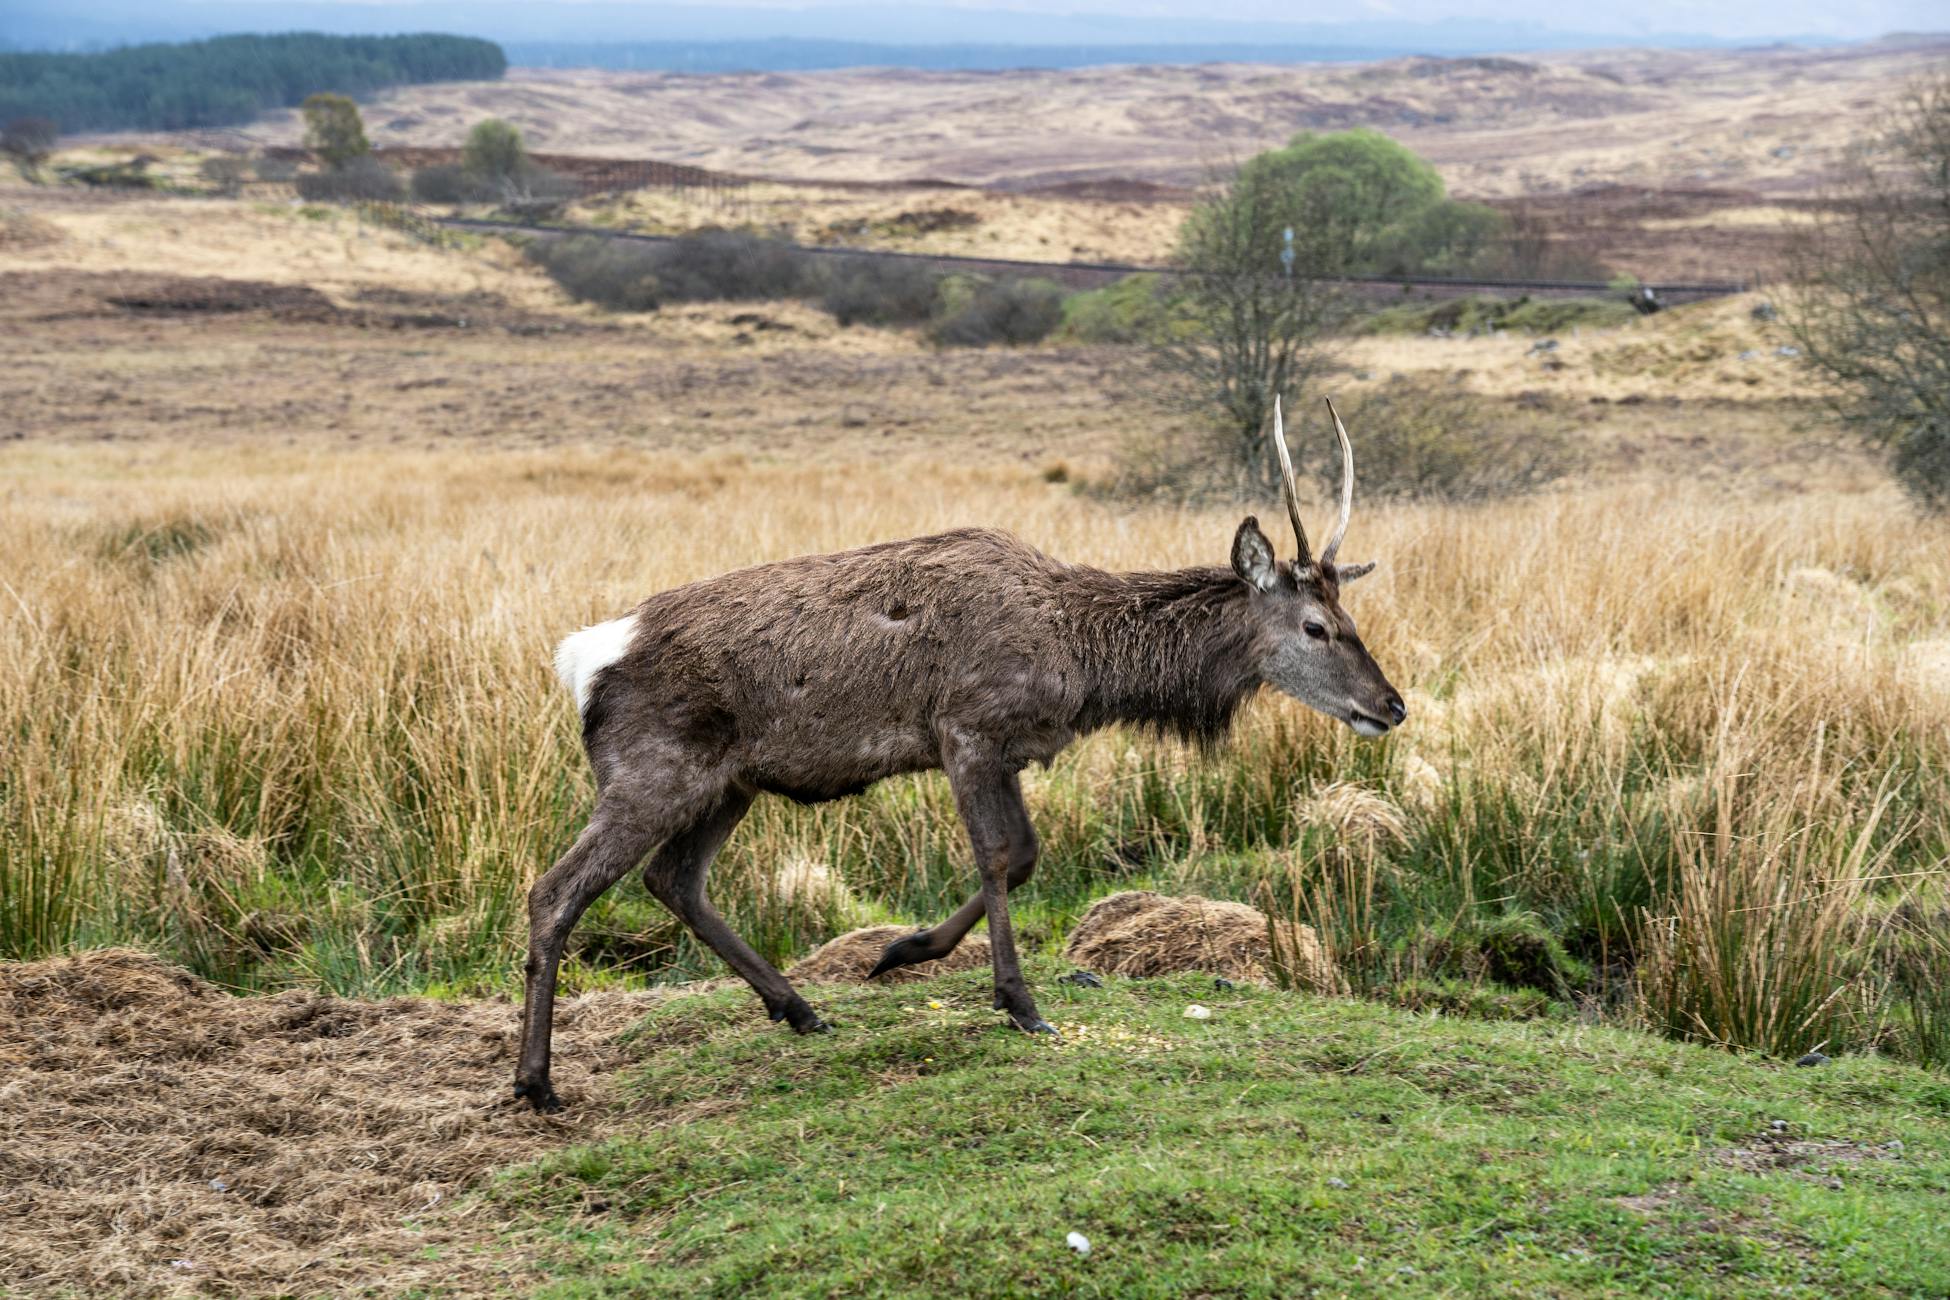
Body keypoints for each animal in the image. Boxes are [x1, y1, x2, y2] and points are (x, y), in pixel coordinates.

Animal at [515, 397, 1405, 1110]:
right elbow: (1001, 855)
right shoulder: (967, 729)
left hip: (731, 782)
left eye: (1349, 616)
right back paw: (536, 1082)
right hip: (650, 769)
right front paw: (1020, 1003)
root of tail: (581, 660)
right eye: (1315, 627)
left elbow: (1027, 857)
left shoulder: (1010, 749)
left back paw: (799, 1008)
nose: (1391, 705)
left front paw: (902, 950)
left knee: (674, 879)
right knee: (556, 890)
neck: (1082, 662)